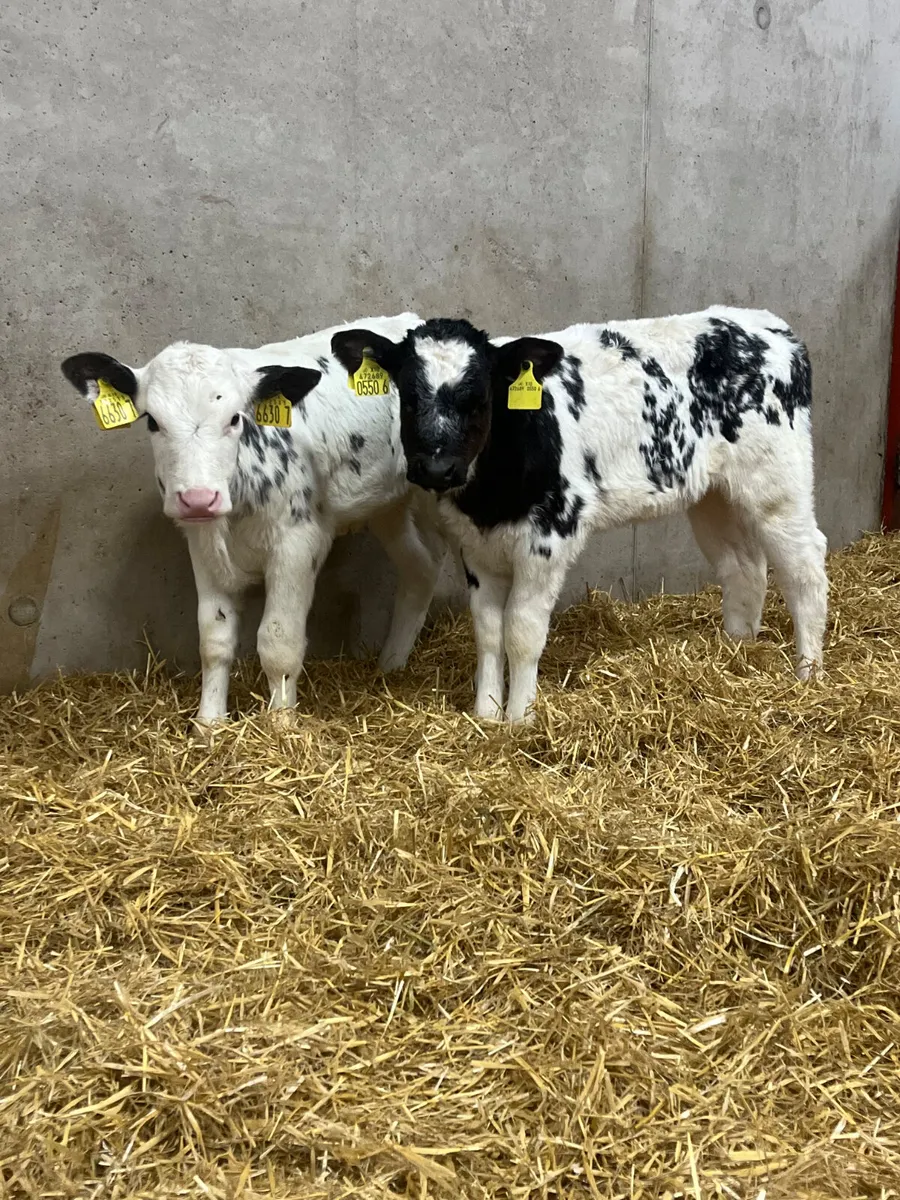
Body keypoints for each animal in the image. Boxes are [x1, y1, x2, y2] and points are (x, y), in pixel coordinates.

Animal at [62, 313, 446, 728]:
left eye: (234, 418)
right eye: (152, 421)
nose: (198, 497)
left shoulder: (298, 542)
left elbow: (278, 641)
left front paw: (281, 725)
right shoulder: (203, 545)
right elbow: (214, 638)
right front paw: (208, 723)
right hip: (388, 506)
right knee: (420, 570)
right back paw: (391, 666)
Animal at [331, 307, 829, 724]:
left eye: (480, 396)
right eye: (408, 396)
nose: (436, 468)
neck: (491, 495)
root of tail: (771, 327)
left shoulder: (549, 538)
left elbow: (521, 631)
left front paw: (519, 719)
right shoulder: (474, 545)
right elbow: (488, 631)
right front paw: (486, 714)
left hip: (778, 481)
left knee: (805, 566)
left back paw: (809, 672)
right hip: (713, 494)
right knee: (744, 567)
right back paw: (736, 653)